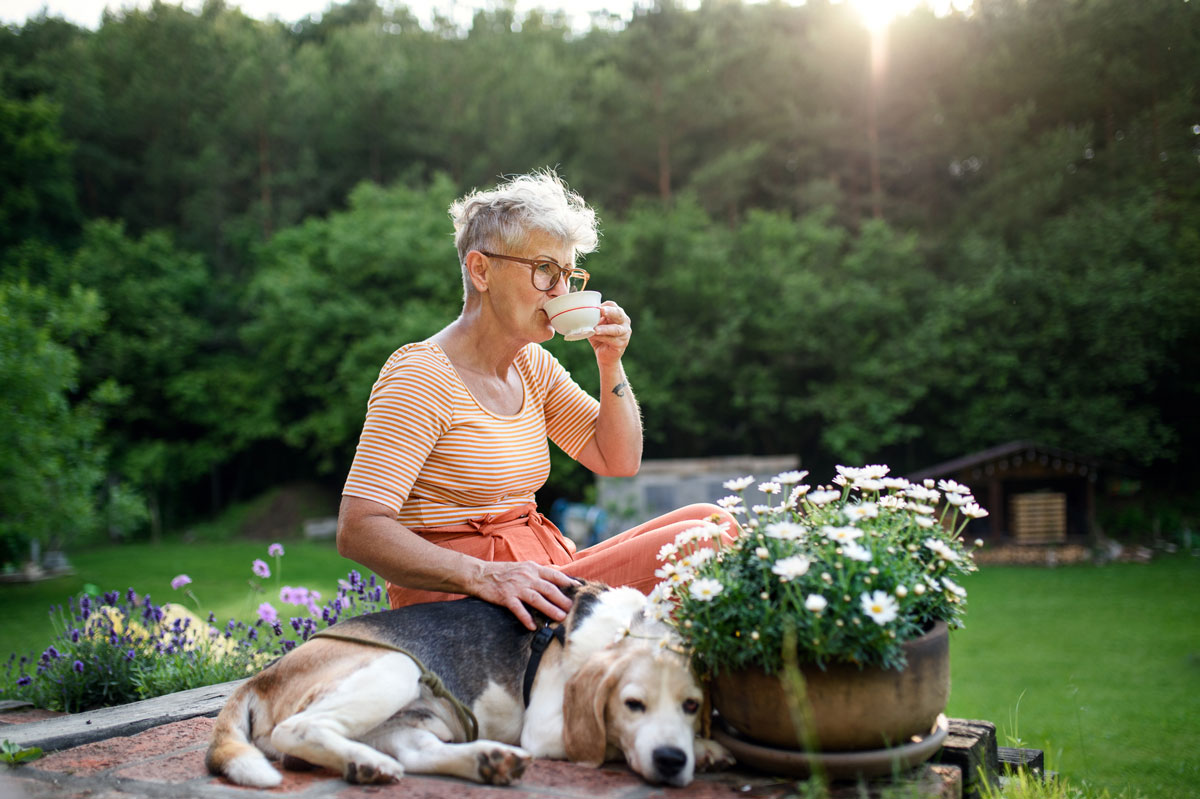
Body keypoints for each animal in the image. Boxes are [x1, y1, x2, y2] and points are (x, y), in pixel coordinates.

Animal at [206, 578, 729, 782]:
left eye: (692, 706)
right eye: (631, 705)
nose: (671, 761)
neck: (630, 628)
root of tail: (261, 677)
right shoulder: (545, 729)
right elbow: (608, 741)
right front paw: (704, 749)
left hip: (422, 717)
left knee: (418, 753)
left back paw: (485, 761)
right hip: (397, 669)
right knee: (294, 731)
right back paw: (366, 763)